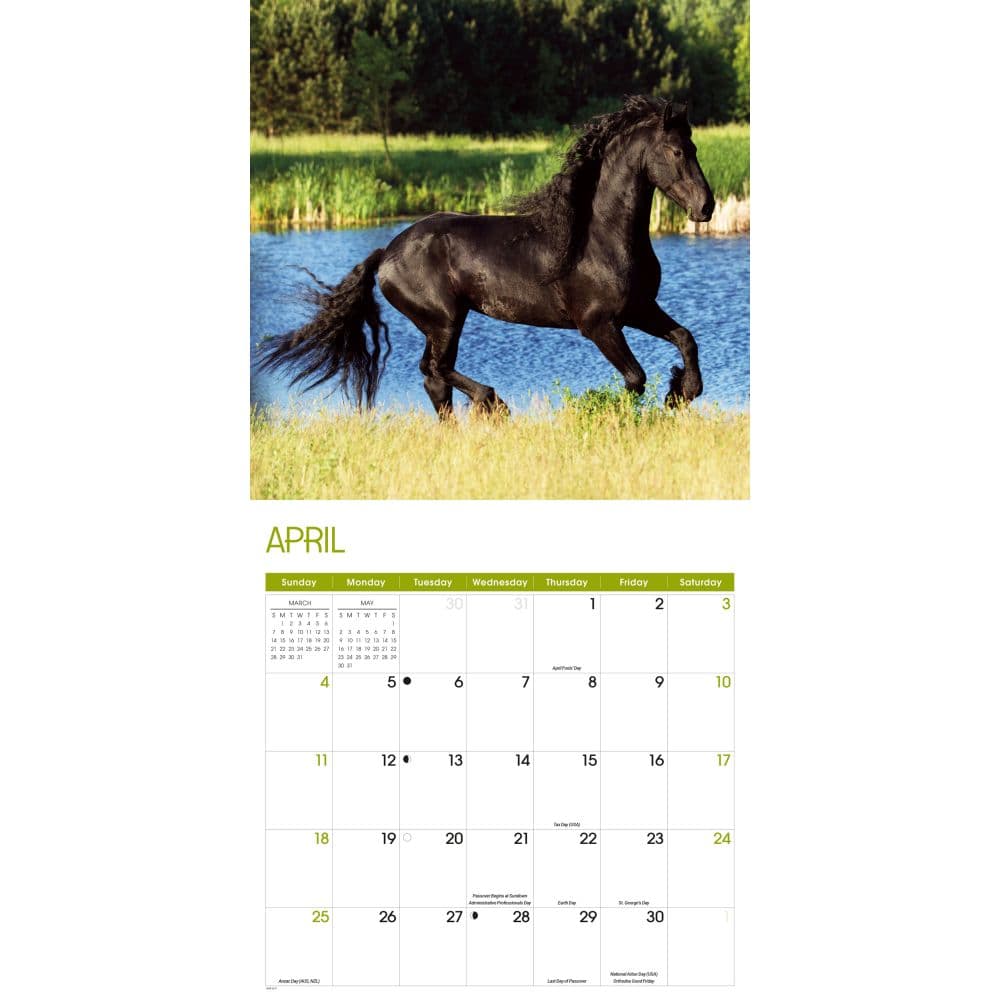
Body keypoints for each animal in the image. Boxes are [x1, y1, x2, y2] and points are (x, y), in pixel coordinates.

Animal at [257, 95, 715, 416]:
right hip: (445, 319)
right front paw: (641, 408)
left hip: (445, 322)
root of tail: (387, 252)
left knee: (434, 379)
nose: (706, 207)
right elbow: (635, 378)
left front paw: (682, 392)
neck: (599, 237)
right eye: (676, 151)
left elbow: (686, 338)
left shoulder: (639, 308)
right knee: (434, 369)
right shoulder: (599, 325)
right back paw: (493, 402)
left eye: (694, 147)